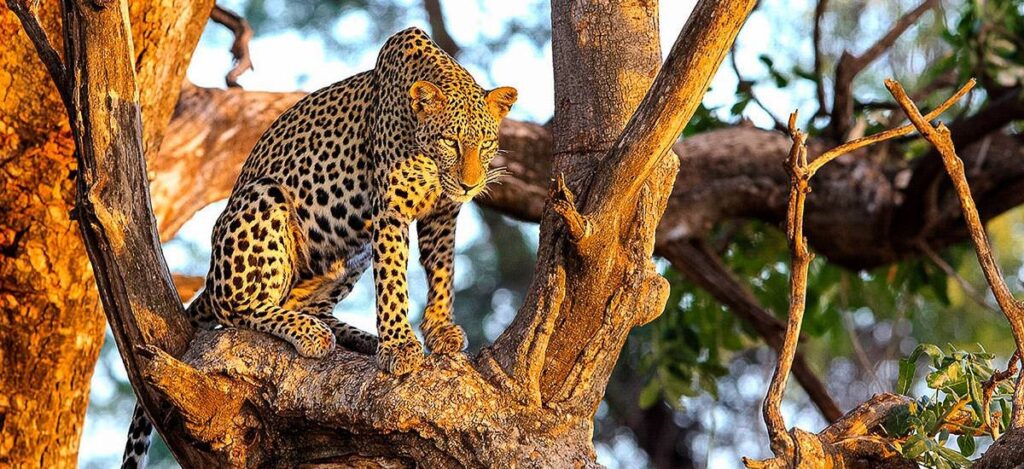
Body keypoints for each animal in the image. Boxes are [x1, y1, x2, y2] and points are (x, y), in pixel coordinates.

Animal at [120, 27, 516, 469]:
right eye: (450, 141)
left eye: (486, 144)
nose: (470, 184)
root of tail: (210, 276)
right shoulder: (390, 210)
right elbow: (393, 281)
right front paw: (399, 344)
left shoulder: (443, 213)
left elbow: (442, 269)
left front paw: (438, 328)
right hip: (264, 198)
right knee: (236, 308)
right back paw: (312, 333)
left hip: (348, 252)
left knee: (306, 305)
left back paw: (356, 337)